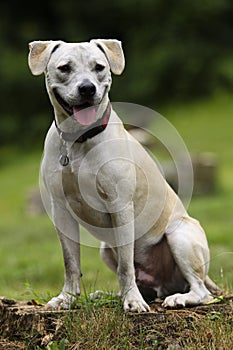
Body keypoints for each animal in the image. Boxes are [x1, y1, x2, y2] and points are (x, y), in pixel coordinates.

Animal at [27, 38, 220, 312]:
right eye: (65, 68)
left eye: (99, 67)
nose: (87, 88)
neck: (79, 139)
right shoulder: (60, 209)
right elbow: (71, 262)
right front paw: (67, 298)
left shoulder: (120, 206)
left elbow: (126, 265)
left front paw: (133, 301)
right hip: (105, 249)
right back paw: (107, 295)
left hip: (179, 235)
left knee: (201, 290)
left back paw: (178, 298)